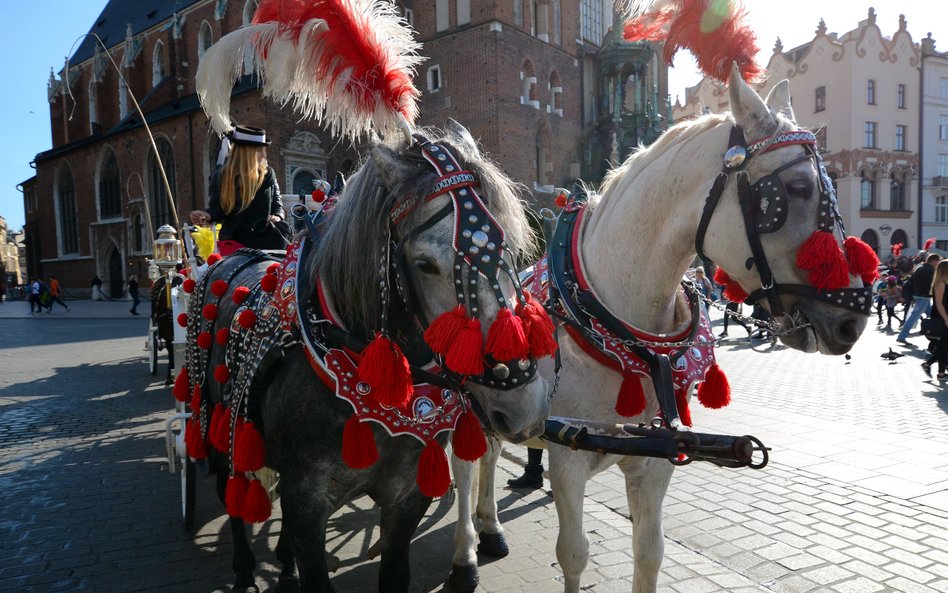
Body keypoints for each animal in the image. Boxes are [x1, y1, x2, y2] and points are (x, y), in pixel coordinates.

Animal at [448, 65, 872, 592]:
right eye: (795, 188)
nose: (854, 317)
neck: (618, 326)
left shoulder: (657, 460)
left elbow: (650, 552)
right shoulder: (567, 458)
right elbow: (574, 554)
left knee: (486, 454)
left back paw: (490, 528)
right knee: (464, 468)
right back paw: (465, 552)